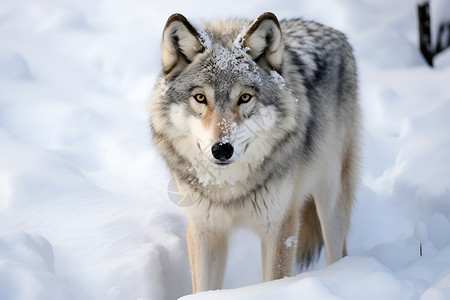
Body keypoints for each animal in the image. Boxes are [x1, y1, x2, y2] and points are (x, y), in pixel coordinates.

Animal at [149, 12, 360, 292]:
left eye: (245, 98)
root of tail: (331, 30)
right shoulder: (205, 230)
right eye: (201, 98)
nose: (222, 149)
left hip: (330, 197)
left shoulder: (281, 229)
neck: (228, 188)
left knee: (339, 252)